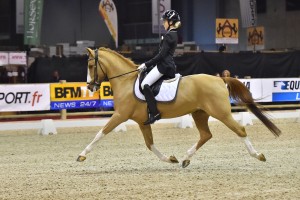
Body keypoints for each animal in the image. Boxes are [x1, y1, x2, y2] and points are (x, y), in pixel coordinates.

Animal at [77, 47, 282, 168]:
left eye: (90, 65)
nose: (90, 87)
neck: (126, 81)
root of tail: (220, 79)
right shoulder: (142, 122)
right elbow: (150, 144)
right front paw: (170, 159)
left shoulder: (120, 115)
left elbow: (100, 133)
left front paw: (81, 155)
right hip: (200, 114)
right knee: (206, 135)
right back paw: (185, 158)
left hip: (221, 113)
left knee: (240, 130)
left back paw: (258, 155)